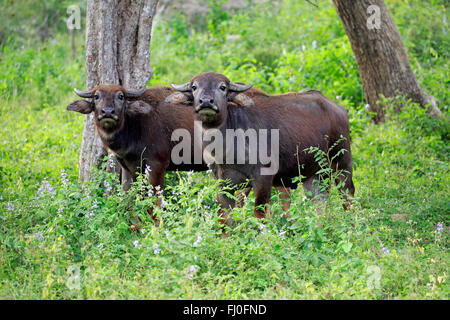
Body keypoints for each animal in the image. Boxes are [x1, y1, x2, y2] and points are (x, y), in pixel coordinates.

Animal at [172, 72, 356, 225]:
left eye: (222, 87)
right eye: (194, 87)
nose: (205, 102)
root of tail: (339, 110)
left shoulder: (263, 177)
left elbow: (260, 214)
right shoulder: (223, 180)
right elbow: (225, 218)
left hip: (342, 165)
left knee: (348, 196)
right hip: (314, 175)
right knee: (320, 204)